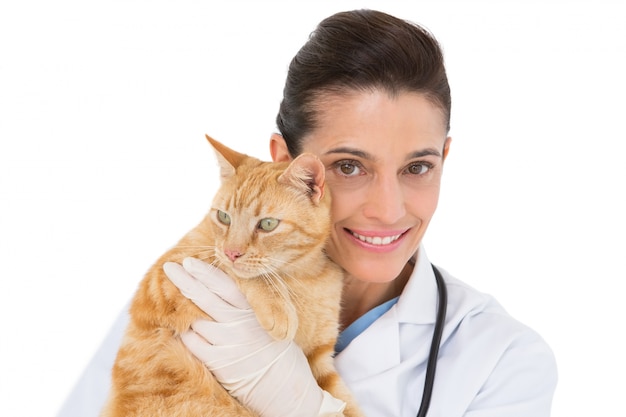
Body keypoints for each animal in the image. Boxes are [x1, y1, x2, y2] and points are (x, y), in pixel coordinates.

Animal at [100, 136, 364, 416]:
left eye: (267, 224)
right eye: (223, 217)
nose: (232, 252)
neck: (302, 276)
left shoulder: (321, 361)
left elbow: (341, 403)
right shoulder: (163, 277)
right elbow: (232, 269)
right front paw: (276, 304)